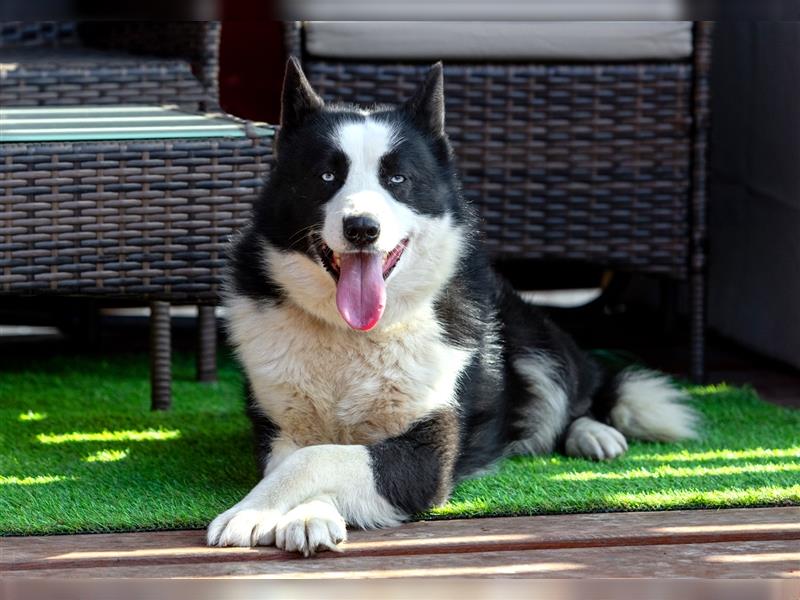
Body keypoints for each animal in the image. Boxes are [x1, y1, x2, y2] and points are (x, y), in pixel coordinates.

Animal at [208, 58, 700, 556]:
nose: (362, 228)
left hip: (535, 339)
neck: (355, 335)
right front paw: (296, 513)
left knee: (584, 388)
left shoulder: (425, 456)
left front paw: (261, 512)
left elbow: (319, 459)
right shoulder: (279, 433)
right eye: (326, 177)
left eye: (397, 180)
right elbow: (305, 457)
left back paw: (593, 432)